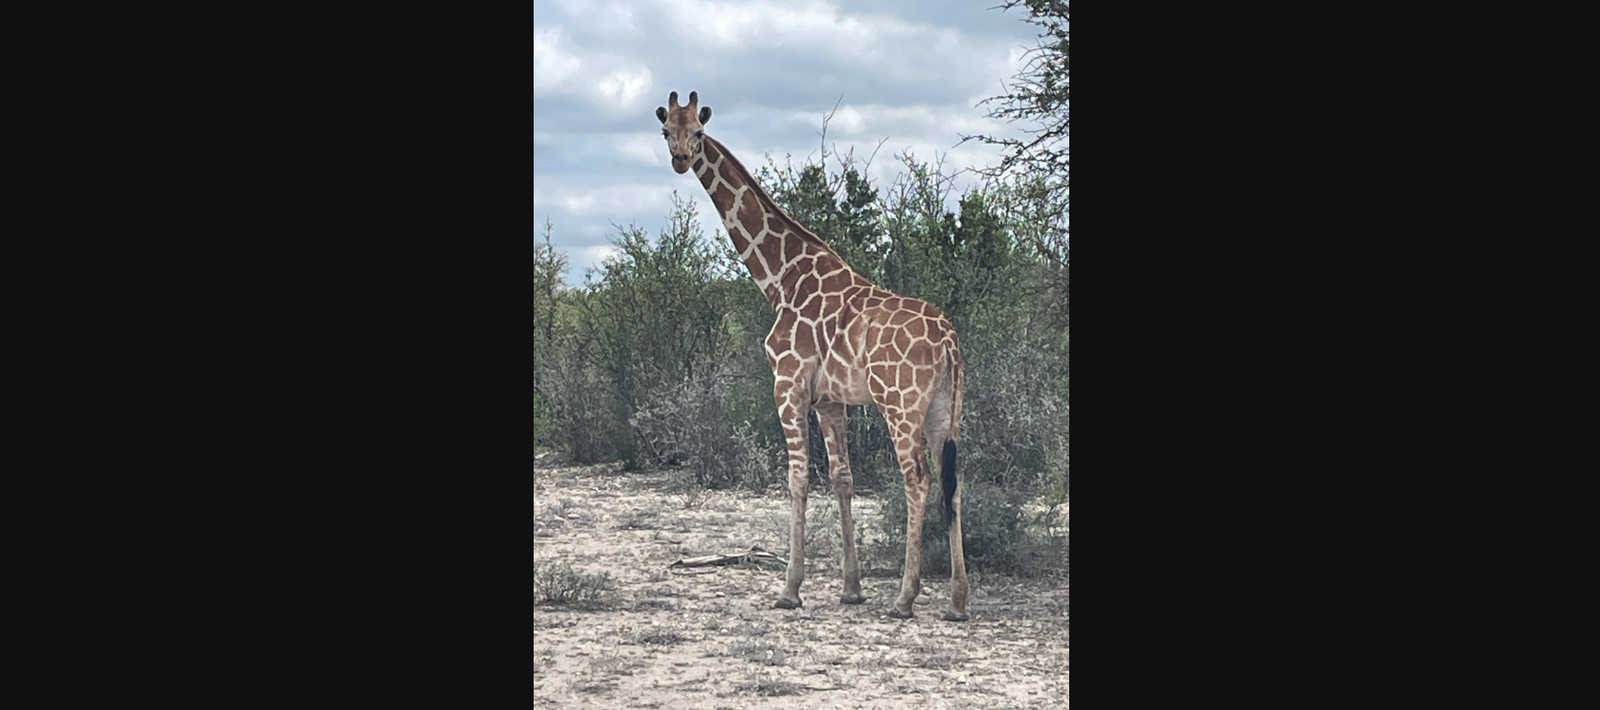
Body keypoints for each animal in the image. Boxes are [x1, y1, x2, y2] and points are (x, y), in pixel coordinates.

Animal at [657, 91, 969, 621]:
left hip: (900, 403)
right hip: (945, 409)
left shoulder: (788, 384)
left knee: (918, 479)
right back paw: (957, 600)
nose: (680, 159)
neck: (780, 279)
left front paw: (790, 589)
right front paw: (851, 588)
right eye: (666, 131)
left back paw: (905, 598)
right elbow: (842, 479)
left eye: (698, 131)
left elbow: (798, 478)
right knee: (955, 478)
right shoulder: (829, 398)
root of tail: (948, 339)